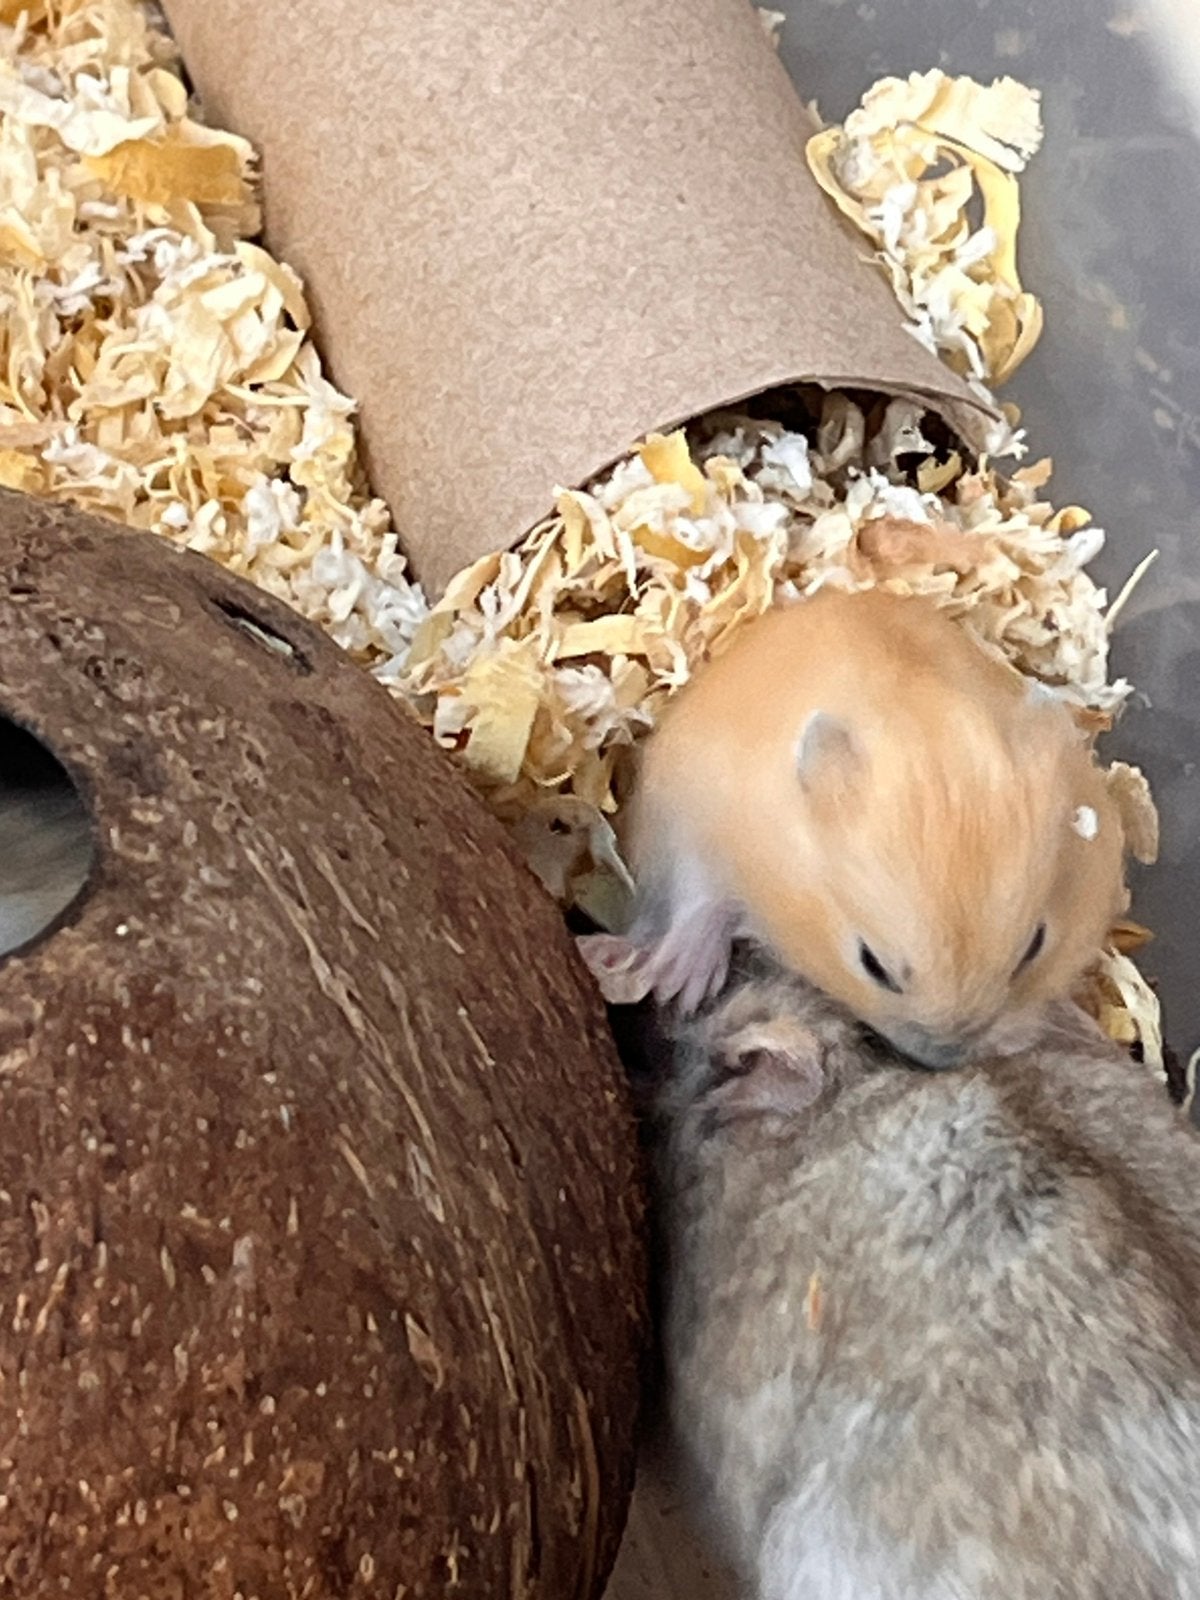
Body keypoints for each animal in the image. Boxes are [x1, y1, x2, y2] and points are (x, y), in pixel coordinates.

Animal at [585, 587, 1128, 1070]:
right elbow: (701, 899)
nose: (942, 1060)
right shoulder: (694, 819)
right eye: (872, 965)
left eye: (1035, 947)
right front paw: (681, 988)